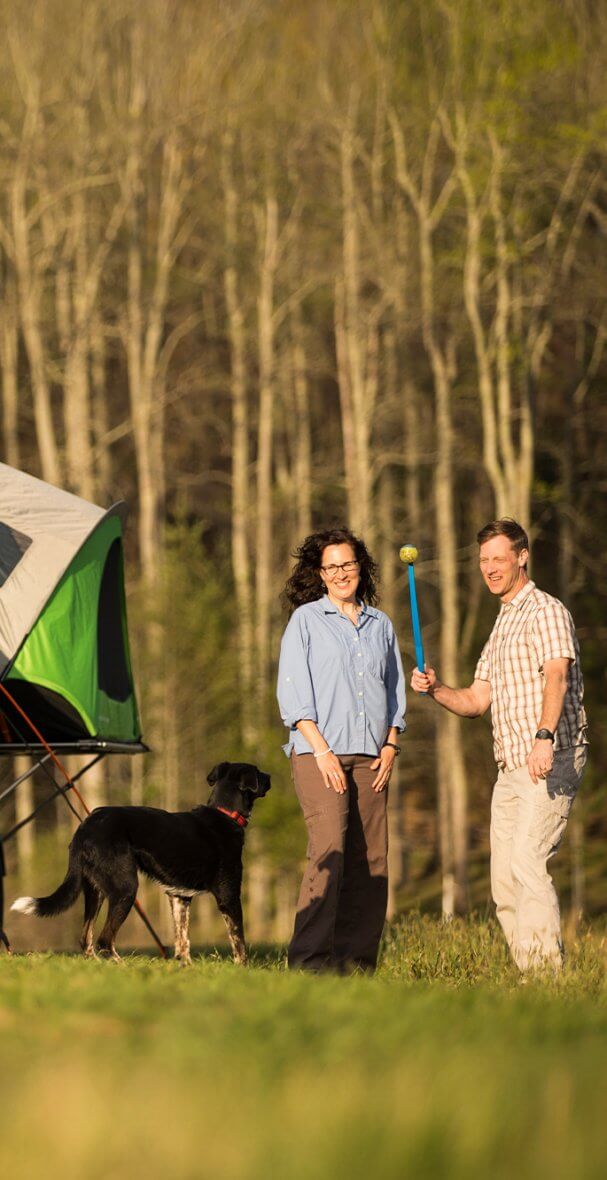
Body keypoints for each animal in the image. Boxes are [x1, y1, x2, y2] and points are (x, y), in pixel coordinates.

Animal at [10, 759, 270, 962]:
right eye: (258, 773)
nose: (270, 776)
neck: (225, 814)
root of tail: (86, 827)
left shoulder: (179, 896)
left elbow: (182, 940)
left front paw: (185, 969)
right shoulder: (228, 895)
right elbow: (238, 940)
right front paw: (243, 969)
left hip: (95, 890)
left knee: (86, 939)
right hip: (125, 888)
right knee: (105, 940)